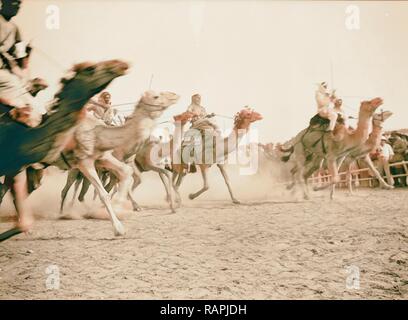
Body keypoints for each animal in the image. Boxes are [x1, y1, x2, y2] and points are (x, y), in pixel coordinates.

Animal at [0, 60, 129, 240]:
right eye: (90, 69)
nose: (121, 64)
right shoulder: (84, 161)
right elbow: (103, 193)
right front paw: (118, 228)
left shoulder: (102, 157)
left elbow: (125, 171)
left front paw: (119, 210)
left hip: (30, 168)